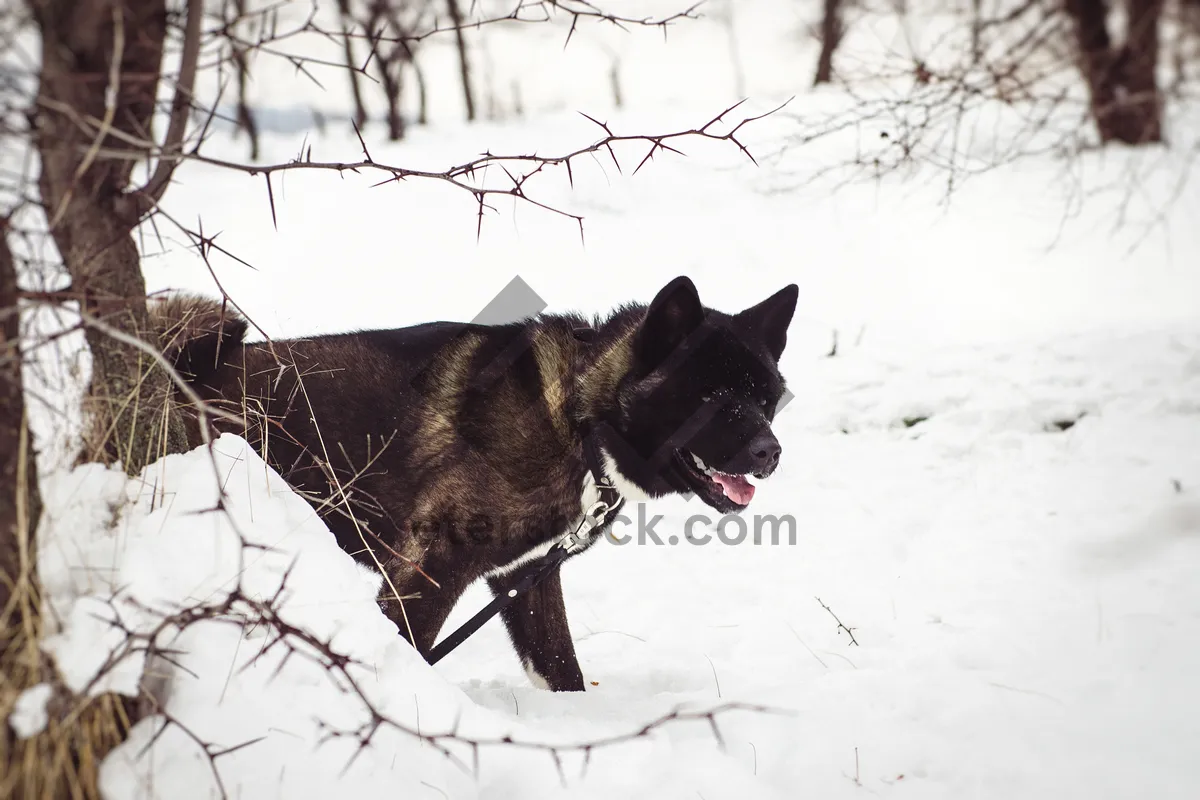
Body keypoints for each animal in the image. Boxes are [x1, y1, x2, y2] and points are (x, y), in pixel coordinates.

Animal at [159, 275, 796, 690]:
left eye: (766, 399)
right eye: (712, 397)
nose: (771, 452)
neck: (577, 419)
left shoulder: (525, 578)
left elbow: (561, 671)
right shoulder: (429, 569)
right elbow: (411, 648)